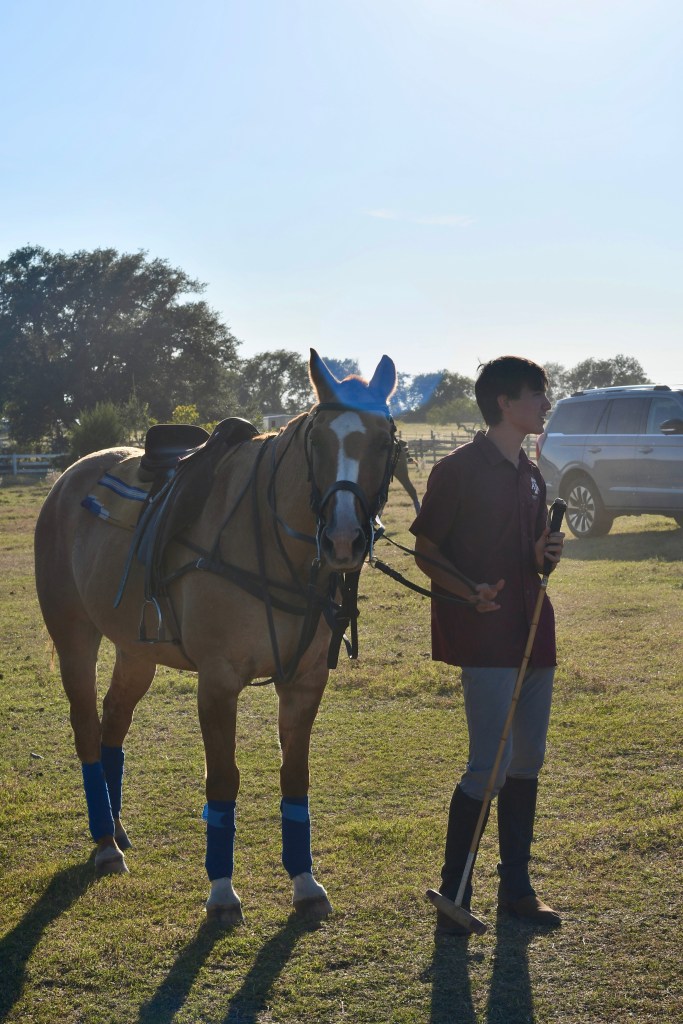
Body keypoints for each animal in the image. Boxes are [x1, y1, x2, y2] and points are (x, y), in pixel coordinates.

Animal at [34, 350, 398, 925]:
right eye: (317, 442)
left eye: (384, 441)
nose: (344, 539)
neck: (271, 546)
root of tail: (70, 476)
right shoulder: (218, 682)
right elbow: (223, 781)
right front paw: (223, 893)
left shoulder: (304, 682)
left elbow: (295, 777)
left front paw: (305, 883)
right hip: (74, 637)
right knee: (87, 729)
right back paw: (104, 843)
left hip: (136, 651)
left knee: (113, 723)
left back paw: (116, 826)